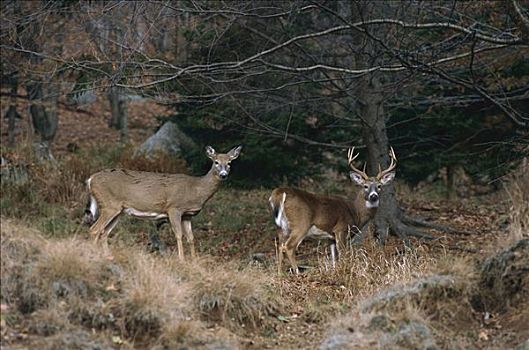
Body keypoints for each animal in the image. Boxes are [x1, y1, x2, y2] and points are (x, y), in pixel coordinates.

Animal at [84, 145, 241, 260]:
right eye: (216, 162)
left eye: (229, 163)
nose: (223, 175)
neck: (196, 189)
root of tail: (91, 179)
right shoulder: (174, 208)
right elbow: (178, 235)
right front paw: (182, 260)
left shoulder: (188, 215)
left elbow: (191, 238)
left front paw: (194, 260)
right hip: (109, 205)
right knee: (94, 230)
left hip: (118, 210)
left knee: (104, 232)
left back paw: (107, 256)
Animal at [268, 145, 396, 274]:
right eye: (365, 186)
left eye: (379, 186)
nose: (373, 196)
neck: (356, 213)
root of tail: (279, 193)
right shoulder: (341, 229)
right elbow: (344, 254)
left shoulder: (331, 237)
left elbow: (334, 259)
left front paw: (335, 271)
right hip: (301, 223)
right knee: (288, 247)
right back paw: (297, 273)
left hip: (282, 227)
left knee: (279, 246)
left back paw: (279, 274)